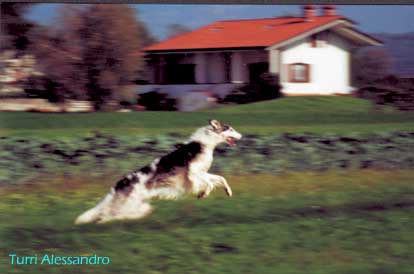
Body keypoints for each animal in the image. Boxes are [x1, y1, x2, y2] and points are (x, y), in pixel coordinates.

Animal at [75, 120, 243, 225]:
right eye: (231, 129)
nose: (241, 136)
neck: (204, 143)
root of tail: (119, 184)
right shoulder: (194, 173)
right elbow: (209, 184)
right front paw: (203, 193)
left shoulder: (202, 172)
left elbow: (221, 178)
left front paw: (228, 191)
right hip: (129, 204)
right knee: (107, 216)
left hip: (138, 205)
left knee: (117, 214)